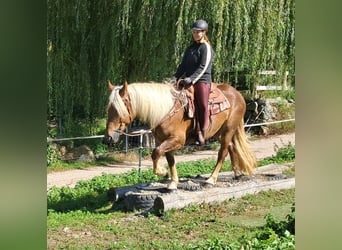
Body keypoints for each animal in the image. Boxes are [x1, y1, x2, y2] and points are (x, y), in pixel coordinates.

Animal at [103, 81, 255, 190]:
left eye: (119, 109)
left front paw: (162, 172)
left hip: (229, 129)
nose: (108, 137)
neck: (166, 111)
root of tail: (237, 93)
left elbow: (156, 153)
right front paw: (172, 182)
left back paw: (211, 179)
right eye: (108, 108)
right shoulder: (163, 140)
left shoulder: (177, 140)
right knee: (231, 146)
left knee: (222, 152)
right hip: (218, 132)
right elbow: (170, 159)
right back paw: (237, 173)